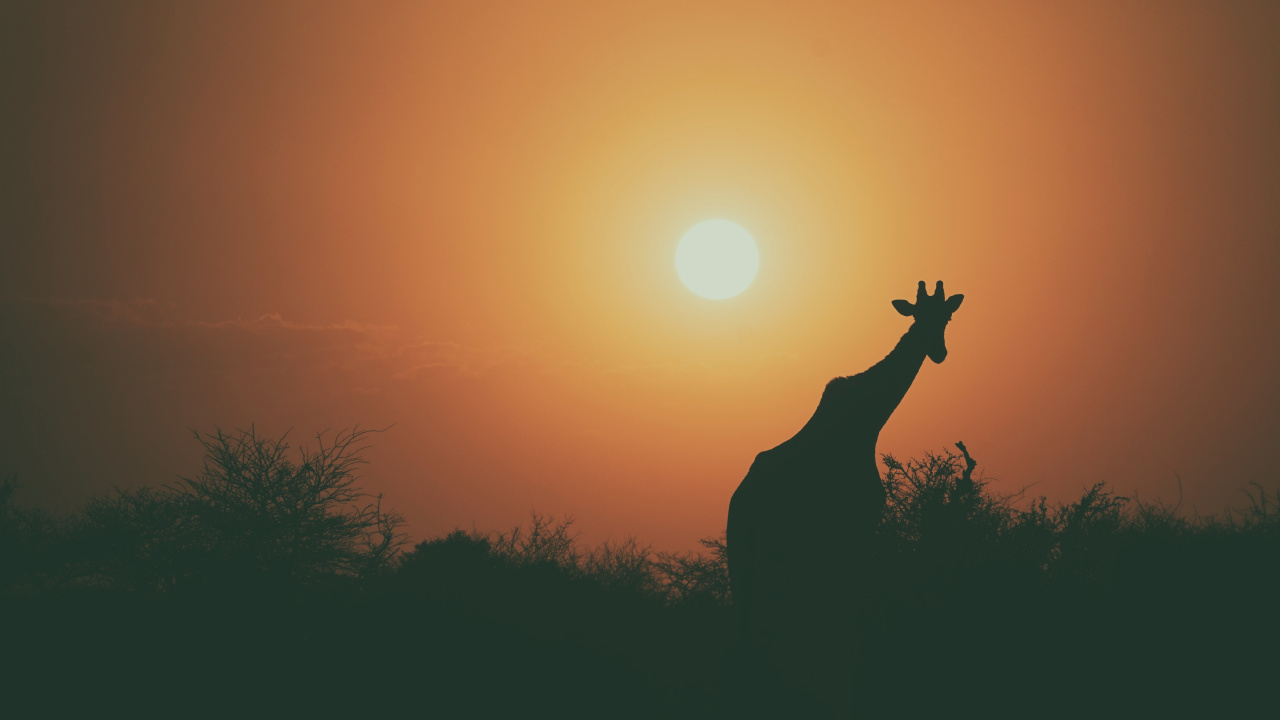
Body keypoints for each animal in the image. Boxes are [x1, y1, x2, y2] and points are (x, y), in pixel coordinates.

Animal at [726, 280, 964, 713]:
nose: (938, 352)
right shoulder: (858, 525)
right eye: (918, 315)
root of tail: (740, 504)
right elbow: (848, 626)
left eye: (948, 317)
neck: (869, 420)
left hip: (747, 556)